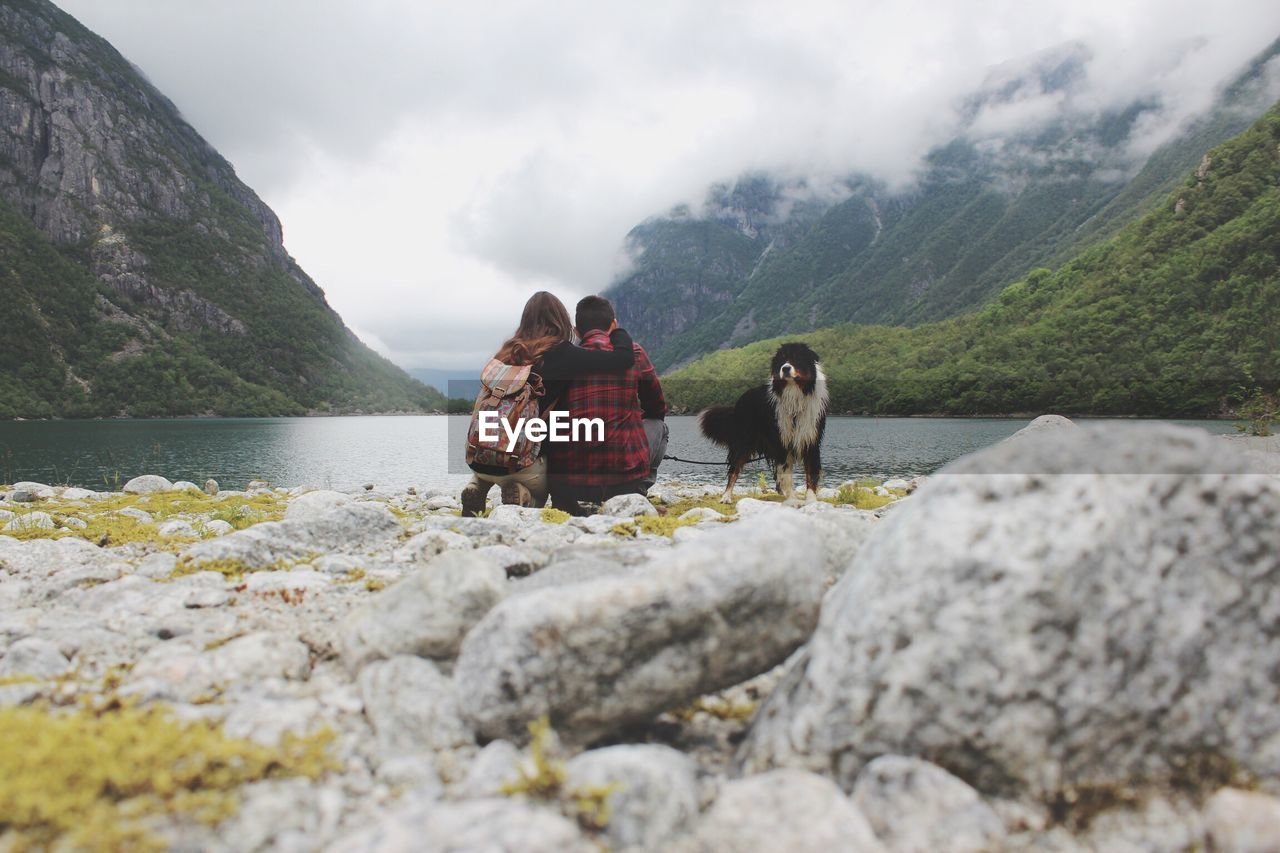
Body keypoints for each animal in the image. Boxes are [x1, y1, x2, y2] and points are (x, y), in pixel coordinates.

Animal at [701, 340, 829, 502]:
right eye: (781, 360)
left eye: (796, 358)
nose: (785, 368)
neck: (795, 393)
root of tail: (739, 401)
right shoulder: (782, 440)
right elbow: (786, 474)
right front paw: (792, 499)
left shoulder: (810, 439)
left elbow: (810, 472)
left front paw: (811, 500)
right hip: (743, 441)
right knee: (734, 469)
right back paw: (726, 496)